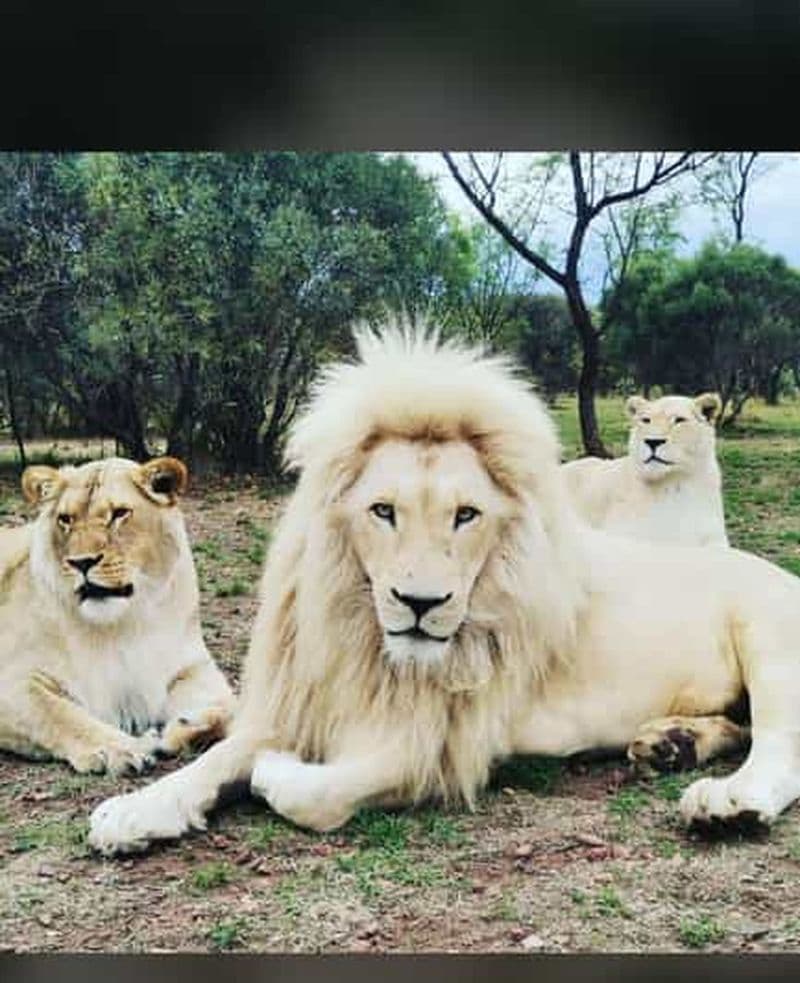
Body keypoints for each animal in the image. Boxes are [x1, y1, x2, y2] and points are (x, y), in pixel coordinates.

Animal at [0, 456, 235, 775]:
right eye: (66, 519)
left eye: (119, 514)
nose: (81, 562)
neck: (122, 624)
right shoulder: (15, 679)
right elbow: (56, 713)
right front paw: (123, 748)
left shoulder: (189, 666)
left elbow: (230, 708)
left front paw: (181, 729)